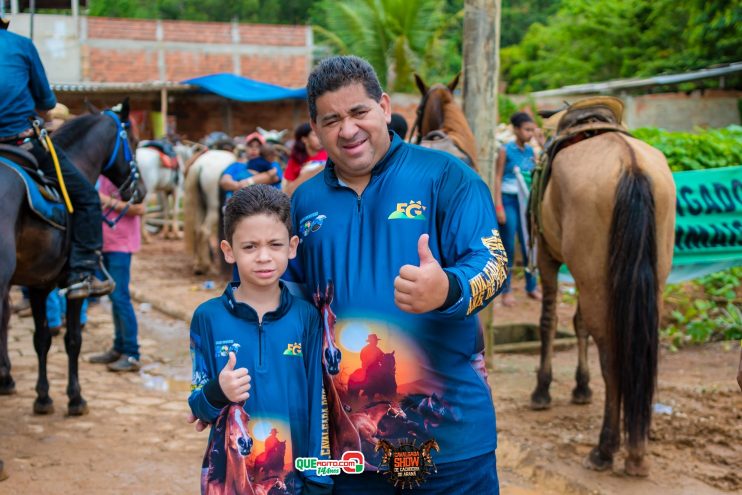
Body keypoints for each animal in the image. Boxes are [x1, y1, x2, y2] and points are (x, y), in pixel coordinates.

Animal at [183, 149, 235, 278]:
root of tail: (199, 166)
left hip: (200, 206)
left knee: (197, 230)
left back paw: (199, 266)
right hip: (213, 208)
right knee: (204, 231)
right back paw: (206, 266)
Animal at [532, 97, 676, 476]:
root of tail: (631, 164)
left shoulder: (547, 255)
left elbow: (549, 321)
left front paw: (542, 390)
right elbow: (577, 321)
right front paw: (580, 387)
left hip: (594, 278)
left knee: (611, 358)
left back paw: (606, 448)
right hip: (643, 280)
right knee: (641, 348)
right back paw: (637, 448)